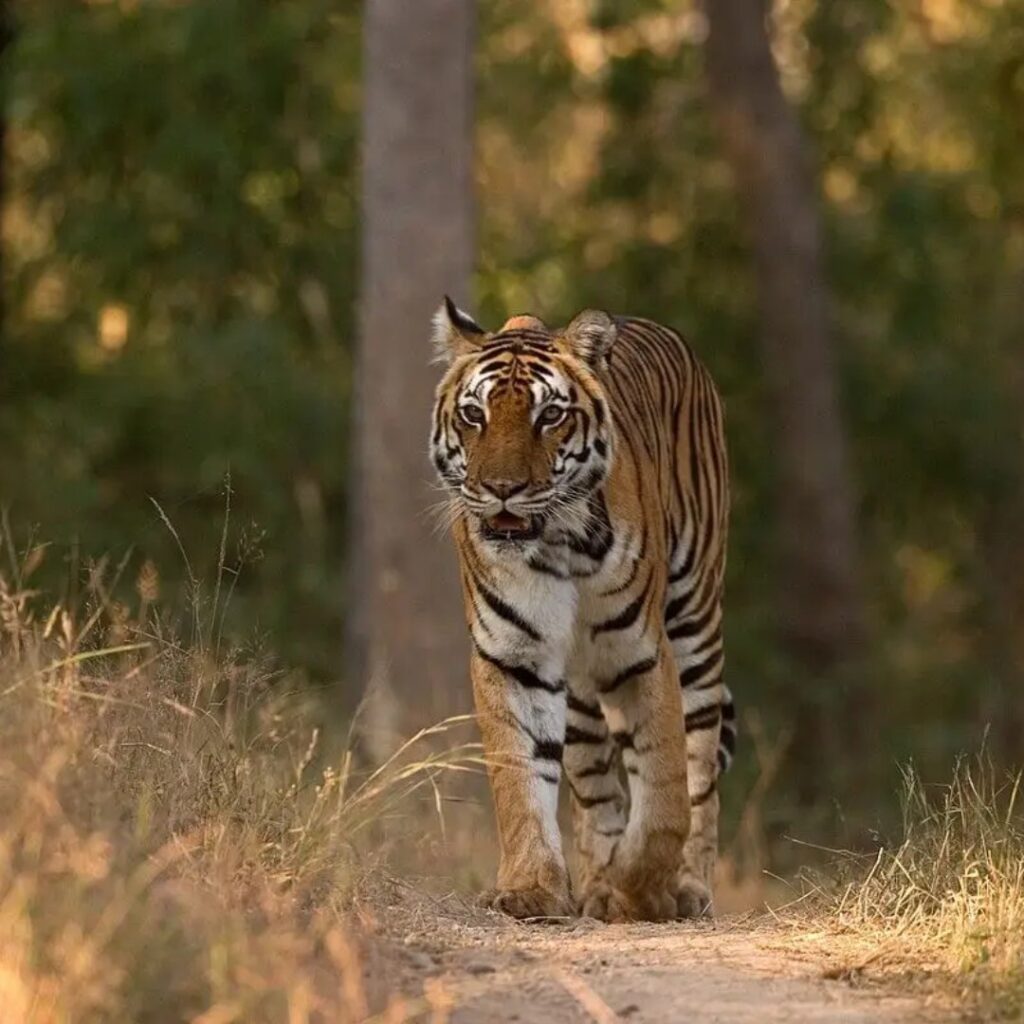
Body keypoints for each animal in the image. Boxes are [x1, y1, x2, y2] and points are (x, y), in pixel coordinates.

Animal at [428, 296, 733, 921]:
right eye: (474, 415)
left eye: (549, 416)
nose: (502, 489)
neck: (555, 543)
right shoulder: (515, 655)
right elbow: (520, 775)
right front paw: (532, 889)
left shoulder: (639, 650)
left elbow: (664, 784)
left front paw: (643, 888)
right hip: (582, 692)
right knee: (596, 786)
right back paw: (595, 886)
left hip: (696, 622)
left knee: (698, 764)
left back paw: (685, 887)